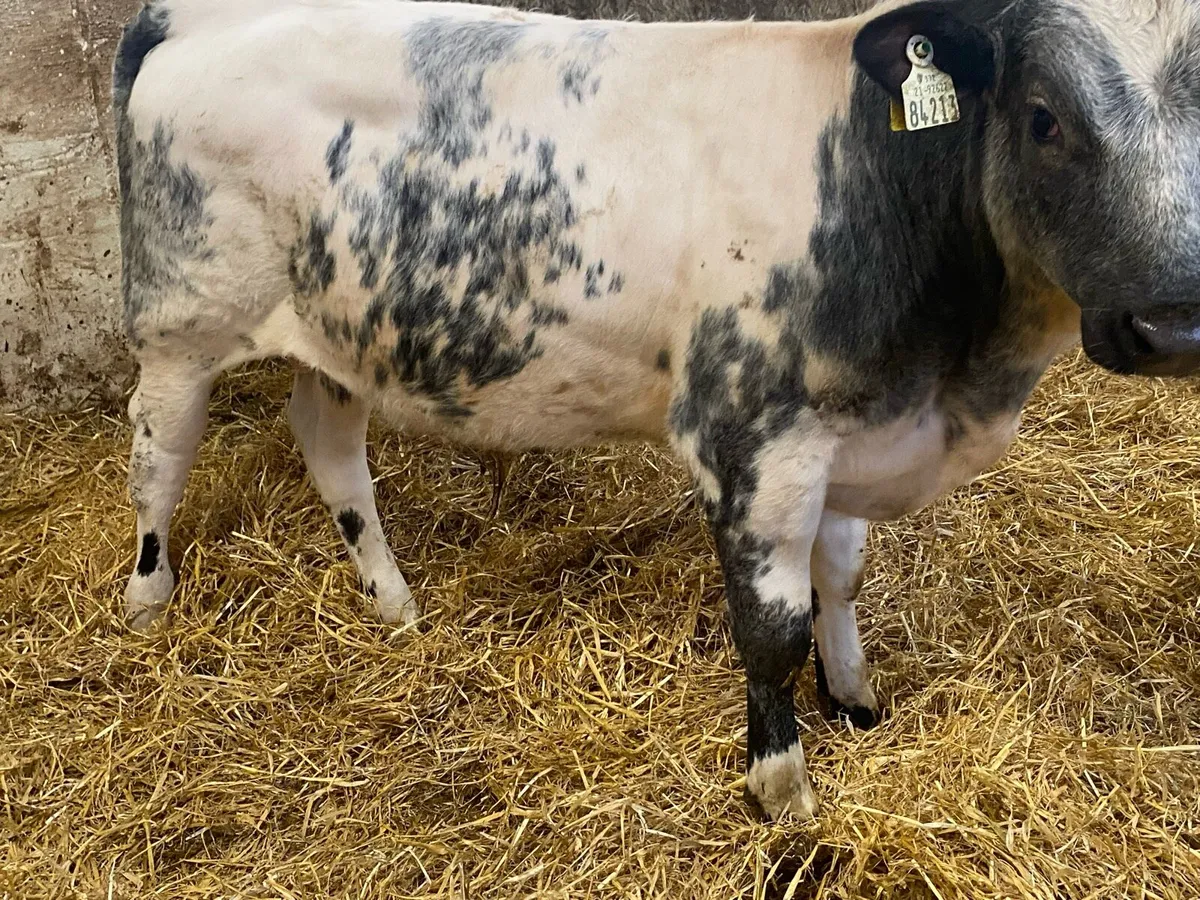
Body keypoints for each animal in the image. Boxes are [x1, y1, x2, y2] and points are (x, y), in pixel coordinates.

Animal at [113, 0, 1200, 820]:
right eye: (1044, 116)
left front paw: (855, 701)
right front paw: (781, 788)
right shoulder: (752, 440)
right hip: (182, 322)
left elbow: (842, 582)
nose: (1174, 324)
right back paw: (146, 601)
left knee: (329, 446)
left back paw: (393, 602)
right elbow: (772, 628)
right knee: (158, 457)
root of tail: (190, 15)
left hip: (346, 330)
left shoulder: (851, 428)